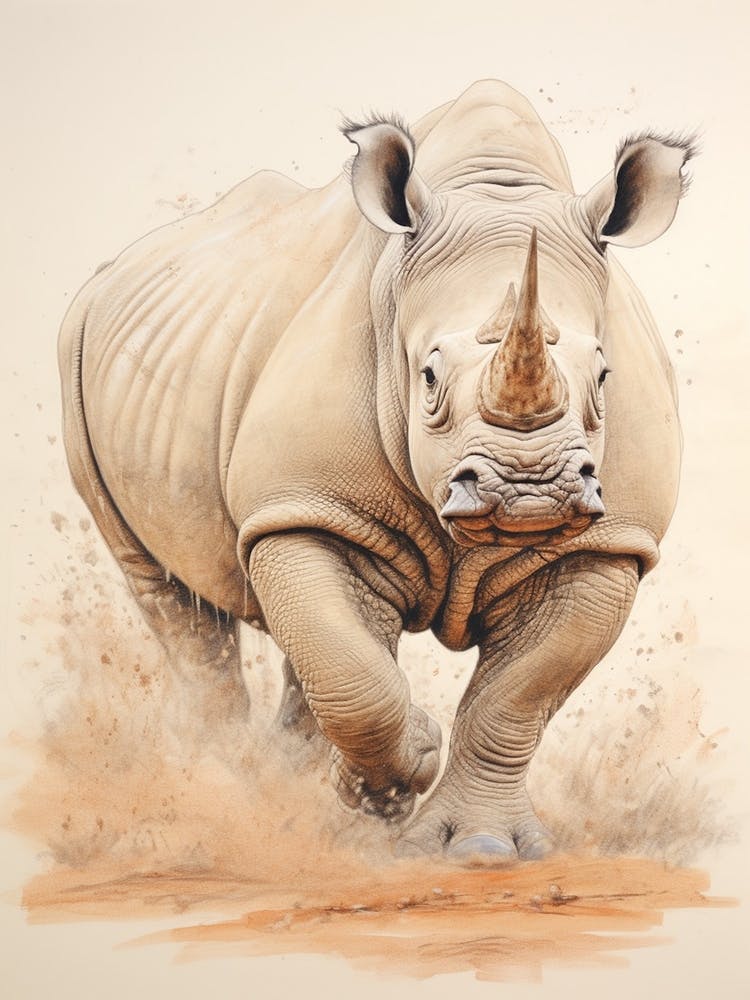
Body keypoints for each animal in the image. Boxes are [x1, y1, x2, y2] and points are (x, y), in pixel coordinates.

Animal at [58, 80, 692, 862]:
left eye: (604, 377)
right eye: (428, 378)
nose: (531, 491)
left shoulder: (607, 542)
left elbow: (517, 696)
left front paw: (477, 849)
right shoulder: (306, 500)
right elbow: (353, 672)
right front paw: (410, 768)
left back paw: (294, 788)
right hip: (78, 339)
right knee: (171, 595)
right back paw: (227, 791)